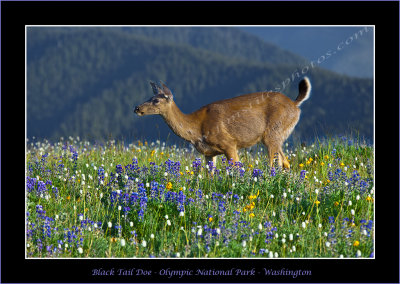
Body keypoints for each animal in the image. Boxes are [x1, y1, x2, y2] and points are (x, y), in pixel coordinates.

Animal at [133, 77, 310, 170]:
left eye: (156, 100)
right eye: (149, 97)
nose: (137, 108)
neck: (196, 128)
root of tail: (295, 105)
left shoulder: (229, 143)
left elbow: (236, 169)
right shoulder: (208, 154)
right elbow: (209, 177)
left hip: (272, 133)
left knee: (276, 164)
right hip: (277, 137)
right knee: (285, 162)